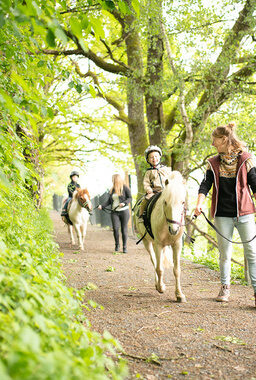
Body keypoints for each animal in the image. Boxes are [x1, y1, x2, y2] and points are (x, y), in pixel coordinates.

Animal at [134, 172, 186, 302]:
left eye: (182, 202)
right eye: (165, 202)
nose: (174, 229)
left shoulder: (177, 245)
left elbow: (176, 270)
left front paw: (179, 295)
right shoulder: (158, 244)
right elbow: (159, 268)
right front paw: (161, 287)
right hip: (148, 242)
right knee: (154, 261)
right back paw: (158, 284)